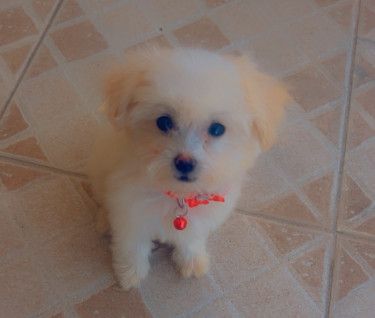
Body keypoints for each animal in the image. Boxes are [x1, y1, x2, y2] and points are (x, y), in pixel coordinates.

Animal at [89, 47, 290, 290]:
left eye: (217, 129)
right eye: (164, 122)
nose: (185, 162)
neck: (179, 195)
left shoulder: (200, 220)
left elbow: (191, 240)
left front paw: (192, 261)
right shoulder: (130, 213)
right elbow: (132, 246)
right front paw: (130, 273)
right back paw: (103, 220)